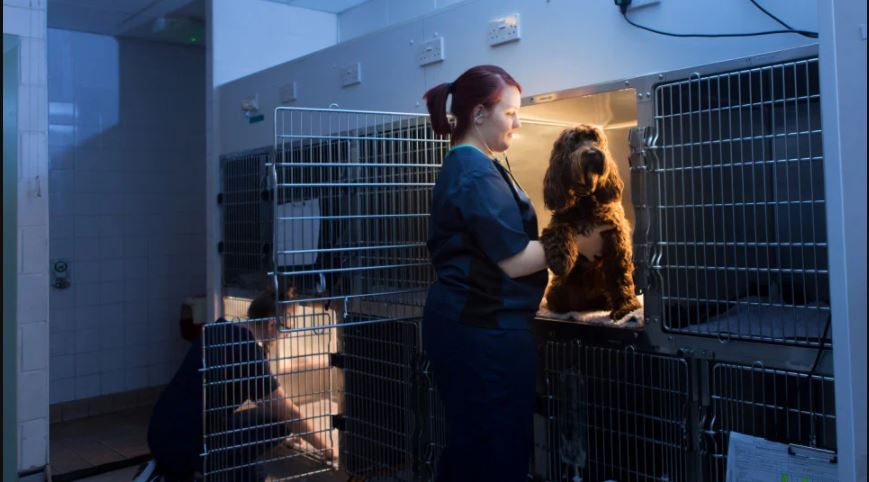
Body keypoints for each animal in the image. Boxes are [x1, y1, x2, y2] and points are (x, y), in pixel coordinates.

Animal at [540, 124, 642, 321]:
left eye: (595, 139)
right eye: (574, 141)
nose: (593, 153)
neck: (585, 200)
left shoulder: (616, 236)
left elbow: (620, 275)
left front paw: (626, 307)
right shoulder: (557, 222)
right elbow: (559, 229)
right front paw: (560, 260)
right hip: (557, 289)